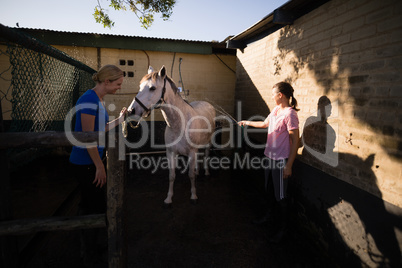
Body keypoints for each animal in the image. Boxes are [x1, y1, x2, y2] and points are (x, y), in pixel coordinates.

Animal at [129, 66, 217, 204]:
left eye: (152, 88)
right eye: (140, 86)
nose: (131, 110)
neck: (179, 124)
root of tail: (207, 104)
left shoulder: (191, 152)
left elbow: (191, 175)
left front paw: (193, 196)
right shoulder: (171, 153)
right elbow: (171, 176)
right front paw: (169, 198)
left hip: (208, 142)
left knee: (207, 154)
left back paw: (206, 172)